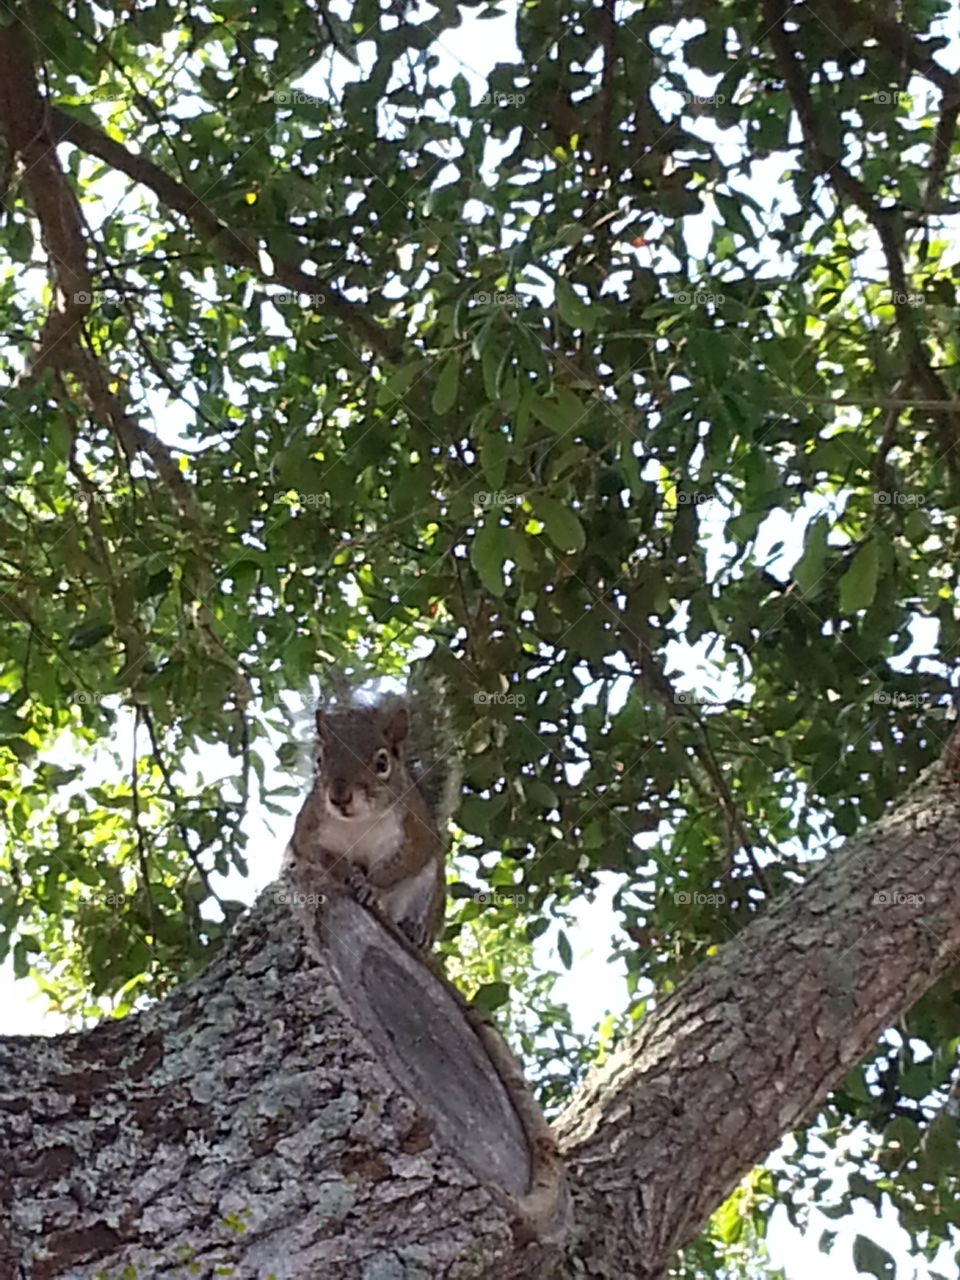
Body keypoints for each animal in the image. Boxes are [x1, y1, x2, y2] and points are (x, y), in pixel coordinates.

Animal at [284, 687, 460, 950]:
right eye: (320, 761)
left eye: (382, 763)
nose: (339, 798)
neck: (359, 822)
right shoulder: (308, 826)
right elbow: (314, 852)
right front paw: (346, 870)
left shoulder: (414, 831)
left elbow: (402, 863)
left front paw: (371, 887)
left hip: (429, 887)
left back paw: (417, 931)